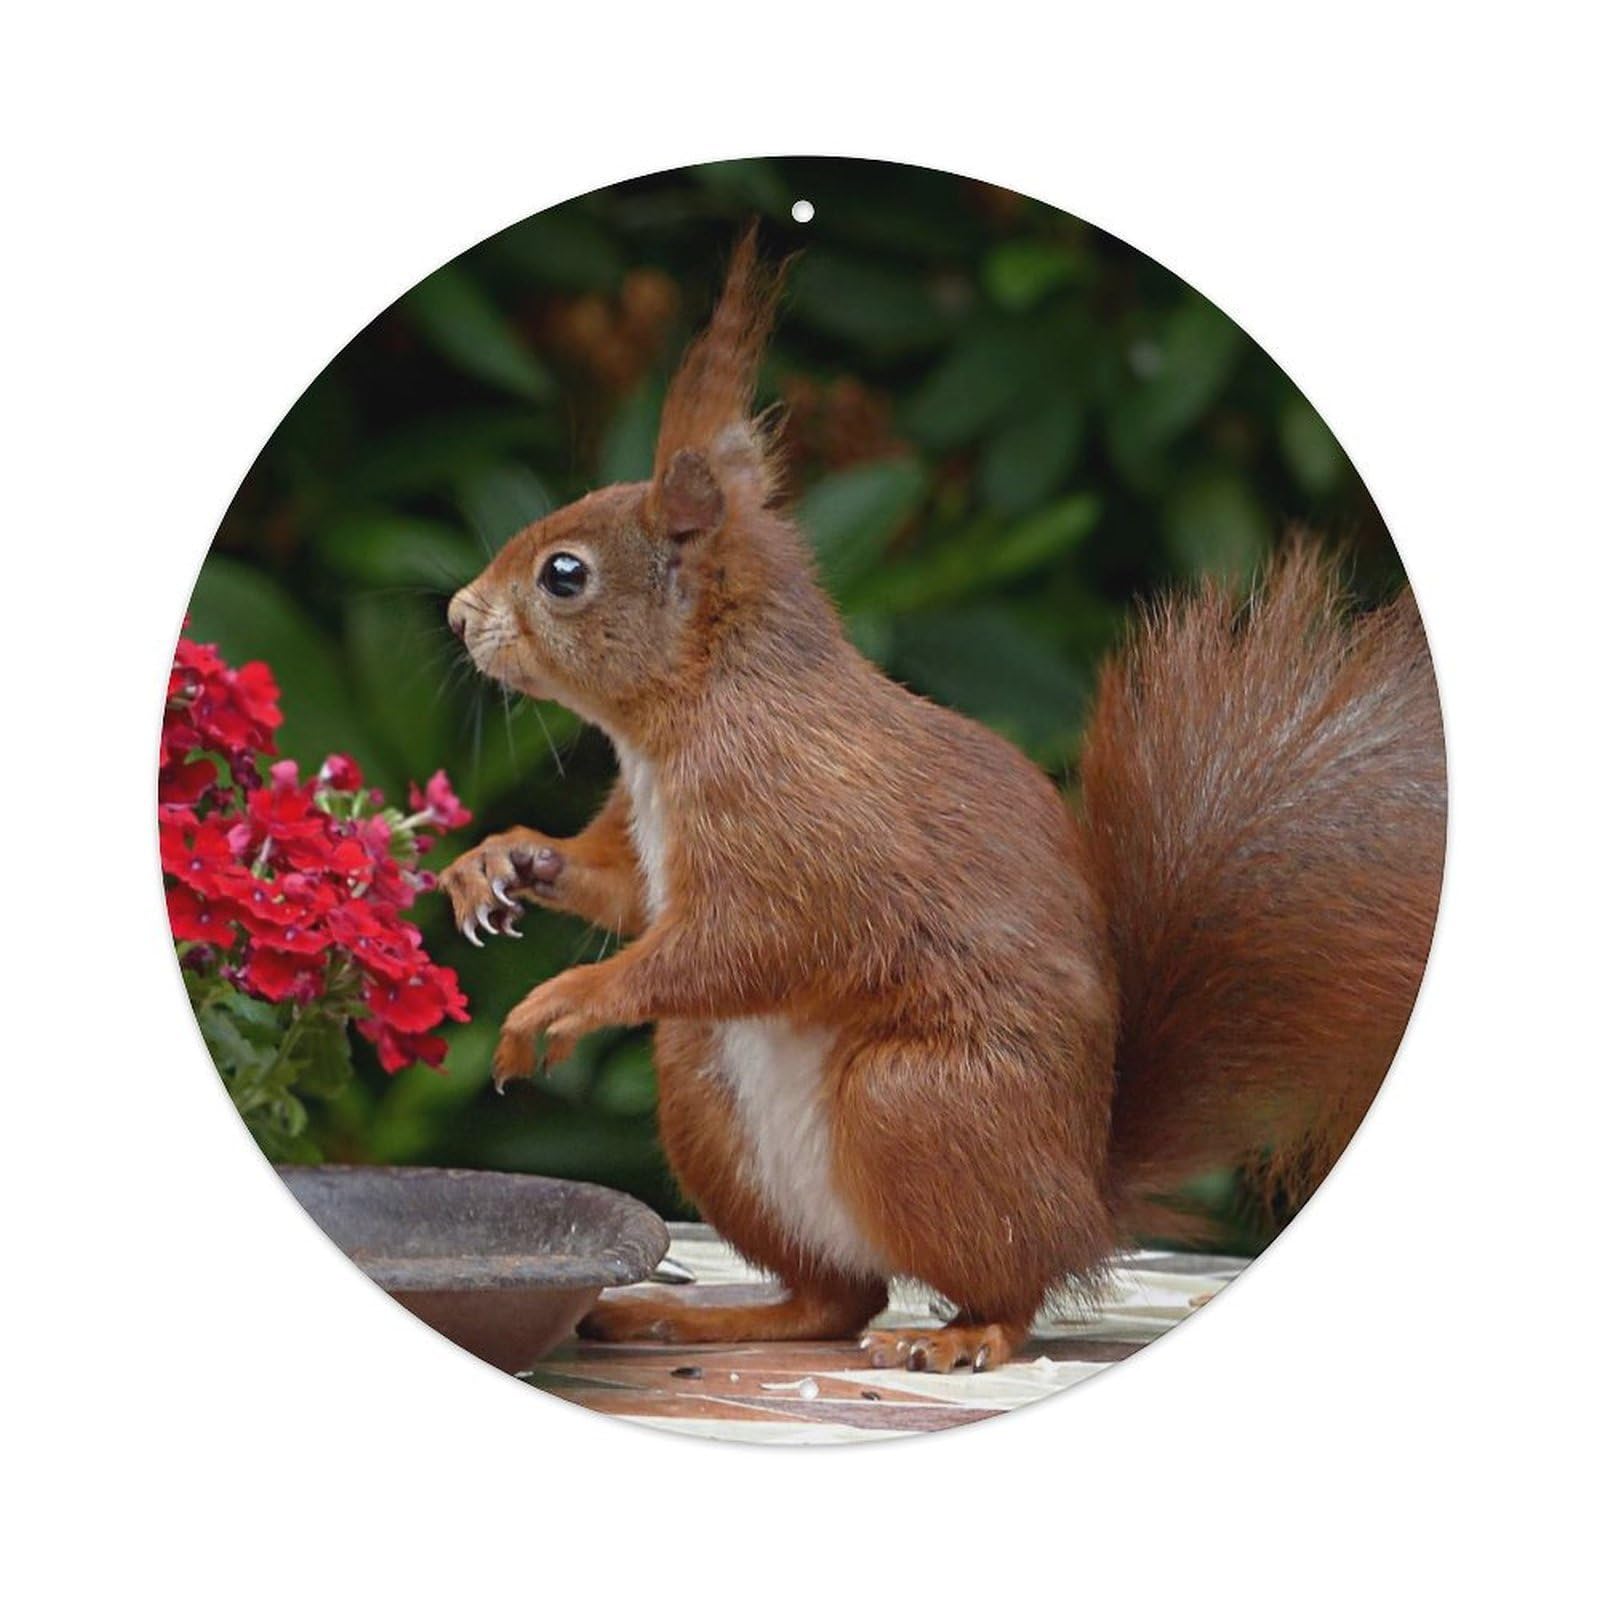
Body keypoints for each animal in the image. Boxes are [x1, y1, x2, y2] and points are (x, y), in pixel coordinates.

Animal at [441, 229, 1446, 1373]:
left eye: (564, 575)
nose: (457, 614)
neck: (690, 714)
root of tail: (1084, 1201)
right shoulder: (648, 836)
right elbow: (622, 891)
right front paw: (499, 861)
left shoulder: (796, 823)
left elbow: (745, 942)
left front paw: (562, 1000)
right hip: (705, 1090)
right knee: (836, 1299)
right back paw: (701, 1314)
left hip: (917, 1101)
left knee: (1001, 1281)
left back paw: (967, 1334)